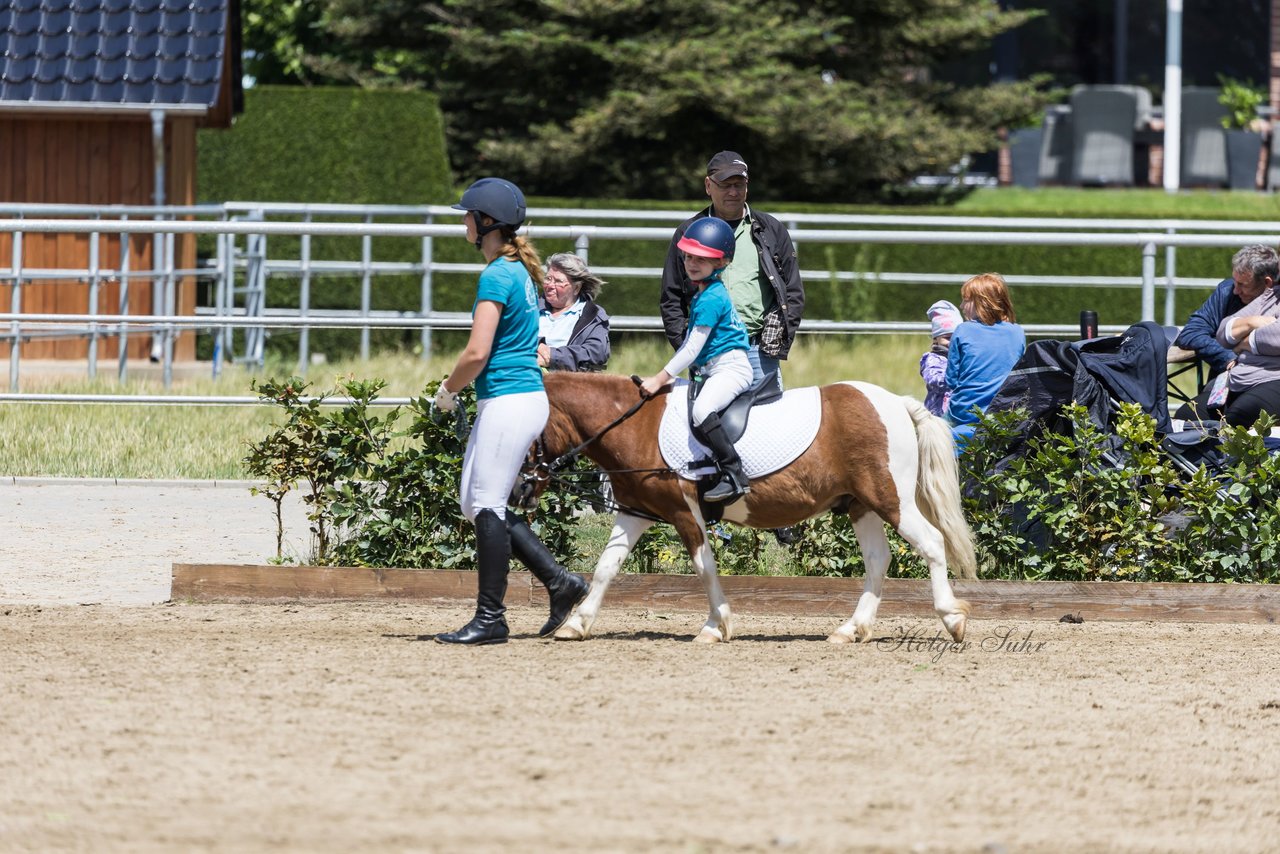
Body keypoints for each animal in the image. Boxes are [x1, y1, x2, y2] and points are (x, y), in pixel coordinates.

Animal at [535, 371, 972, 645]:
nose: (524, 486)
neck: (635, 425)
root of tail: (896, 403)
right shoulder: (635, 511)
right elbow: (607, 566)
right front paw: (576, 624)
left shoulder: (683, 512)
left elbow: (704, 566)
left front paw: (715, 626)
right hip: (860, 505)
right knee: (878, 559)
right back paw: (850, 629)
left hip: (890, 499)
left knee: (932, 543)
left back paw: (952, 618)